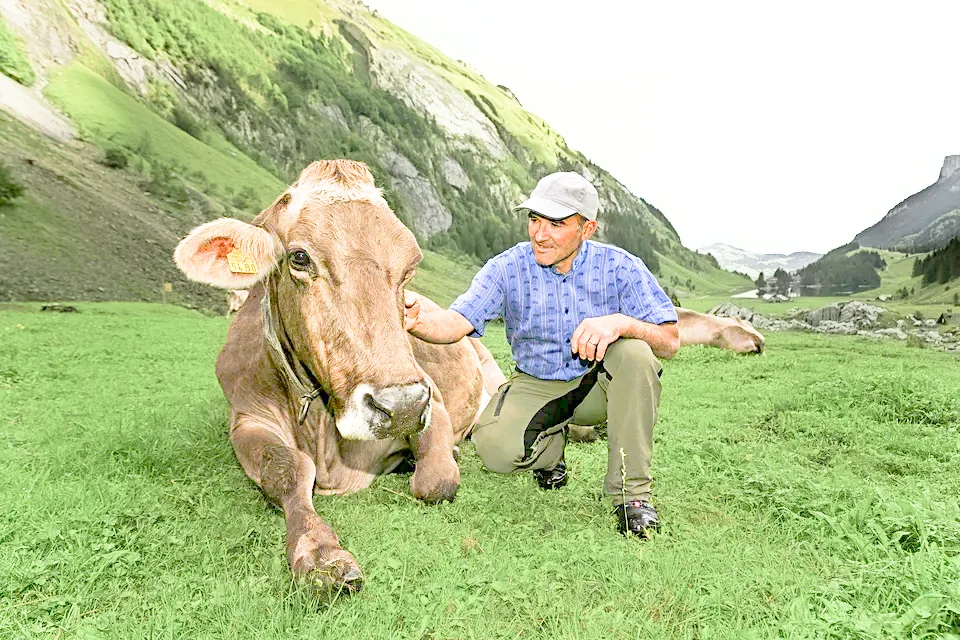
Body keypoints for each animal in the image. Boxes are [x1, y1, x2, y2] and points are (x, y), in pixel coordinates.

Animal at [174, 160, 499, 598]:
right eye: (299, 257)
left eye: (411, 266)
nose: (401, 407)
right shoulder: (247, 419)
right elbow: (286, 470)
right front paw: (322, 554)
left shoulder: (433, 399)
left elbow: (436, 480)